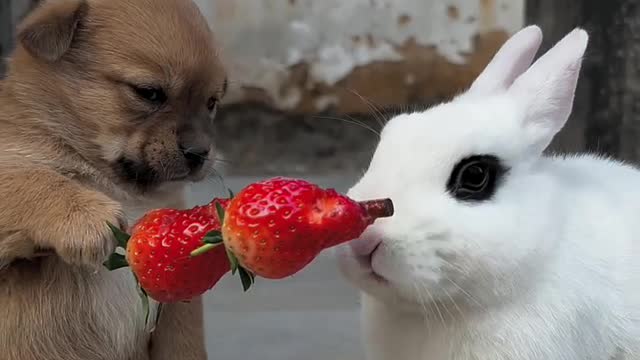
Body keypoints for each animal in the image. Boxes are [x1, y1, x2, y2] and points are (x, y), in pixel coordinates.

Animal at [0, 0, 228, 360]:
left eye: (212, 103)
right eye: (149, 93)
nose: (199, 153)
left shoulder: (178, 303)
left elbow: (184, 341)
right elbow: (32, 180)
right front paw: (85, 216)